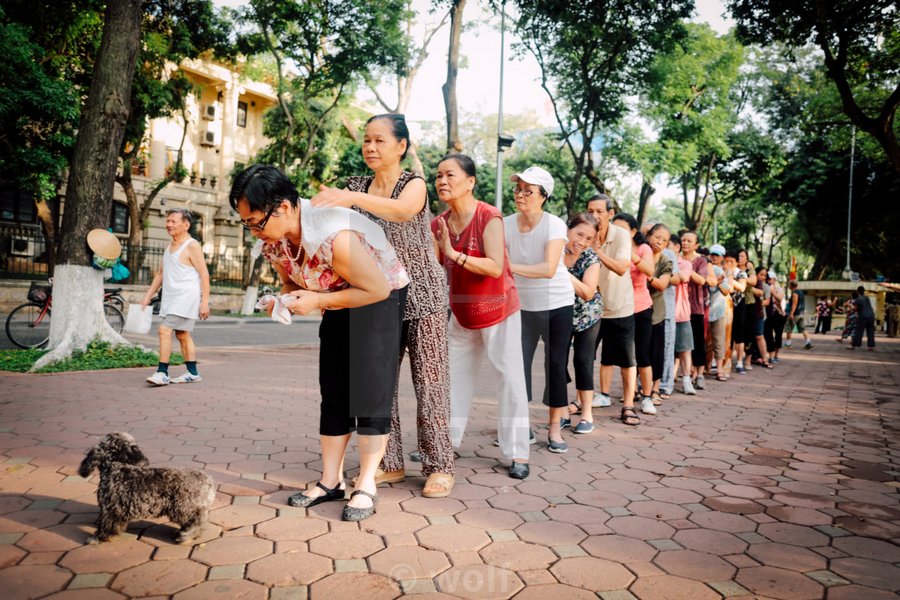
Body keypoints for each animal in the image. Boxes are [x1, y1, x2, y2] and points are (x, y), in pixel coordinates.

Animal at [79, 432, 216, 544]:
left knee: (198, 520)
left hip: (181, 508)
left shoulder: (110, 510)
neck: (116, 468)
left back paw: (187, 535)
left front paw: (97, 538)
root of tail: (208, 480)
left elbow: (105, 526)